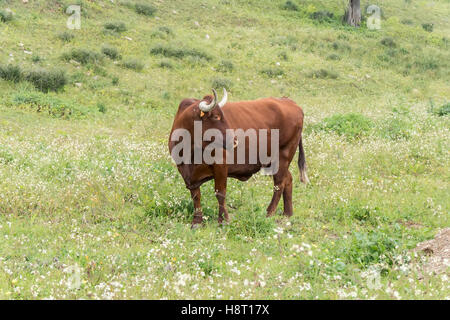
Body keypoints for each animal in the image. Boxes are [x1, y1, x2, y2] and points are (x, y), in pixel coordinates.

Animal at [167, 89, 308, 226]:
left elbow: (220, 193)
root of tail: (289, 101)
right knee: (288, 179)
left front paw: (223, 220)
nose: (234, 140)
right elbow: (196, 195)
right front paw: (197, 221)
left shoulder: (220, 165)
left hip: (283, 157)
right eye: (216, 116)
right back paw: (287, 213)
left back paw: (269, 213)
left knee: (279, 184)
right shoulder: (186, 173)